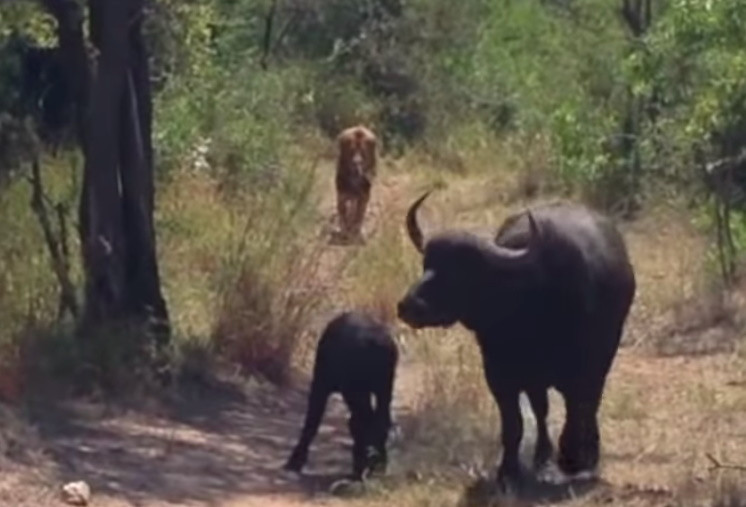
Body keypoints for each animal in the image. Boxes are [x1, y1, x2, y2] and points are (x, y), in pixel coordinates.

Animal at [285, 311, 398, 479]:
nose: (373, 465)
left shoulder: (320, 385)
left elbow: (312, 422)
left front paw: (295, 461)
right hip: (384, 388)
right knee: (380, 419)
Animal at [397, 191, 636, 490]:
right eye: (426, 264)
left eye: (460, 270)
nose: (407, 306)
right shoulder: (500, 375)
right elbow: (515, 424)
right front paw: (508, 471)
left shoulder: (583, 367)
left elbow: (578, 407)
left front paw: (574, 457)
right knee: (543, 410)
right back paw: (543, 456)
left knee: (589, 402)